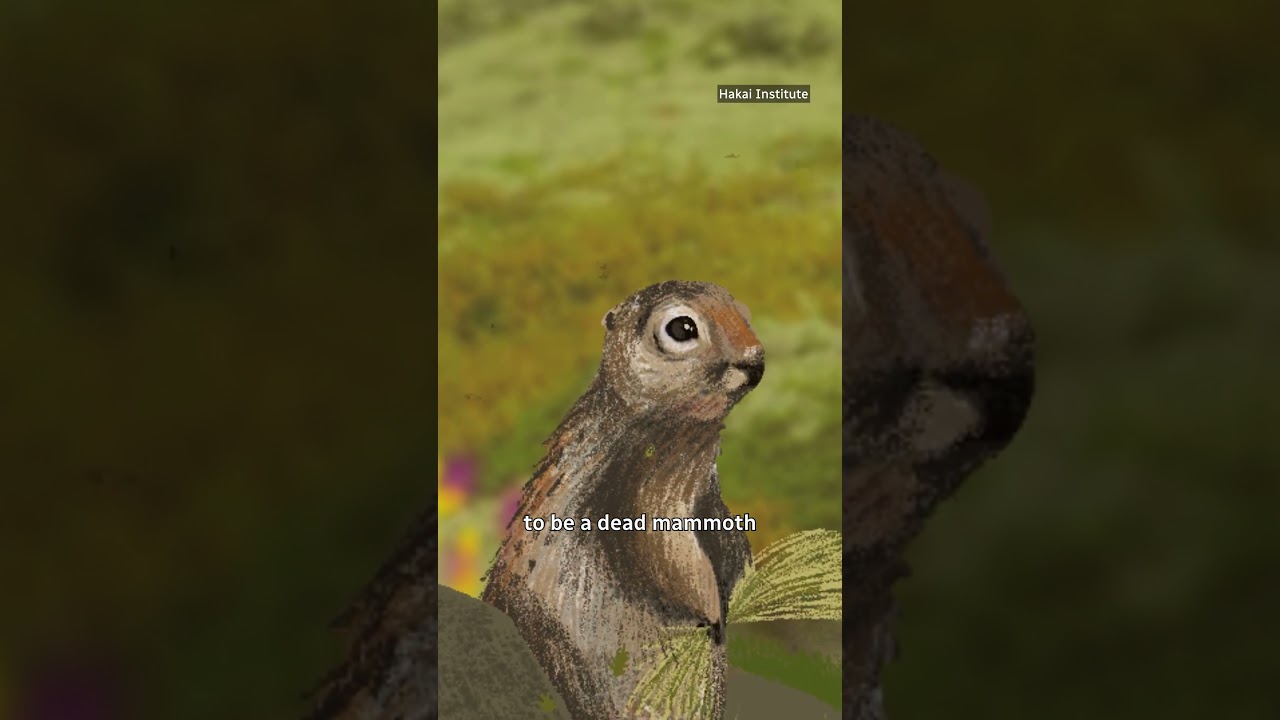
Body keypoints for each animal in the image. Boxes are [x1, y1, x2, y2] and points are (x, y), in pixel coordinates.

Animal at [481, 280, 765, 720]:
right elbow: (667, 553)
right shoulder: (640, 492)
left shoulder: (707, 498)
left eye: (745, 311)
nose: (755, 361)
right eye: (682, 328)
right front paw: (715, 613)